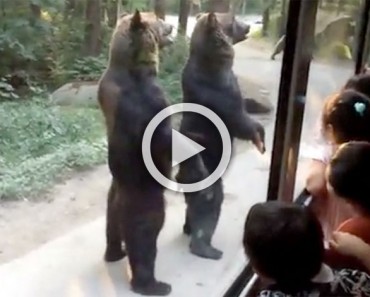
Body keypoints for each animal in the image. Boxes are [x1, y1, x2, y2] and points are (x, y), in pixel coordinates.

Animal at [97, 10, 174, 294]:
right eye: (158, 20)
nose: (171, 24)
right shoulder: (153, 103)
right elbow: (163, 141)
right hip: (146, 203)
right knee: (144, 240)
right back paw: (153, 284)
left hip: (114, 198)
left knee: (111, 225)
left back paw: (114, 253)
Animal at [177, 12, 266, 260]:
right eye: (233, 20)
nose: (249, 26)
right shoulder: (220, 89)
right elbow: (239, 118)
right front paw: (259, 134)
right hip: (205, 175)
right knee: (210, 205)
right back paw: (207, 248)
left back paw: (188, 228)